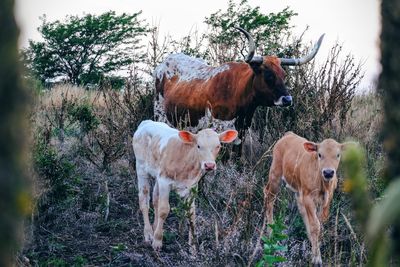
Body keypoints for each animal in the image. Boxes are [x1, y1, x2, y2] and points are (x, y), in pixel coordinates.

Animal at [266, 133, 350, 266]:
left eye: (338, 155)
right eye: (319, 154)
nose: (328, 172)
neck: (323, 185)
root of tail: (288, 134)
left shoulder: (327, 198)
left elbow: (321, 222)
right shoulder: (308, 198)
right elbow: (315, 225)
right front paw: (317, 259)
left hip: (298, 190)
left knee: (302, 210)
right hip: (275, 175)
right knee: (269, 197)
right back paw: (270, 232)